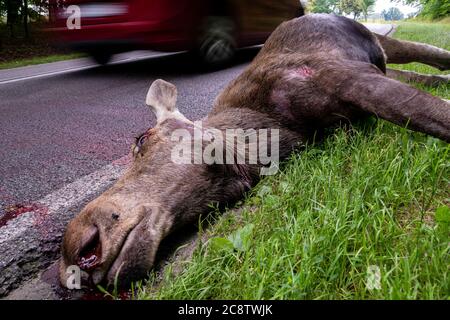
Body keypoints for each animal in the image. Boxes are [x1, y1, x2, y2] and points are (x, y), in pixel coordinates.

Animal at [60, 14, 450, 290]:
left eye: (141, 139)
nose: (76, 252)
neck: (272, 132)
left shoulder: (337, 73)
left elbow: (434, 115)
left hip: (380, 41)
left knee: (434, 57)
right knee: (426, 76)